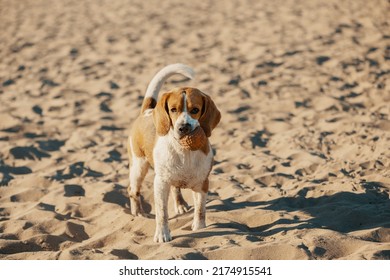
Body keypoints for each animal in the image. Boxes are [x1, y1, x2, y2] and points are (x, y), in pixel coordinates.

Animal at [127, 62, 221, 242]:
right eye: (173, 109)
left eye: (195, 110)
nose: (183, 127)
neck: (184, 151)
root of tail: (147, 111)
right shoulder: (160, 183)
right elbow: (162, 213)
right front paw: (162, 234)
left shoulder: (202, 183)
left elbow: (200, 209)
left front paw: (199, 228)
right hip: (138, 166)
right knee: (133, 191)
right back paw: (138, 213)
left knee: (175, 189)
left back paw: (180, 205)